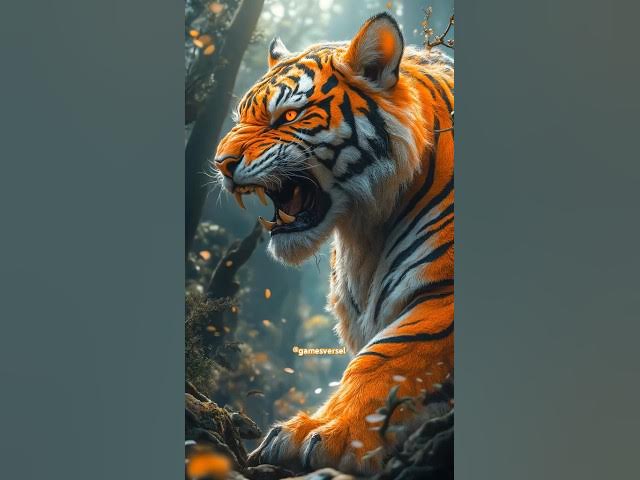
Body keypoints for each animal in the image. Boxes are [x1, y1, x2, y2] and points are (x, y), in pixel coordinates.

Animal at [214, 13, 454, 475]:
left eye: (288, 115)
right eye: (241, 116)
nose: (221, 164)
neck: (366, 231)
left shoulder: (443, 297)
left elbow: (383, 359)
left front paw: (327, 433)